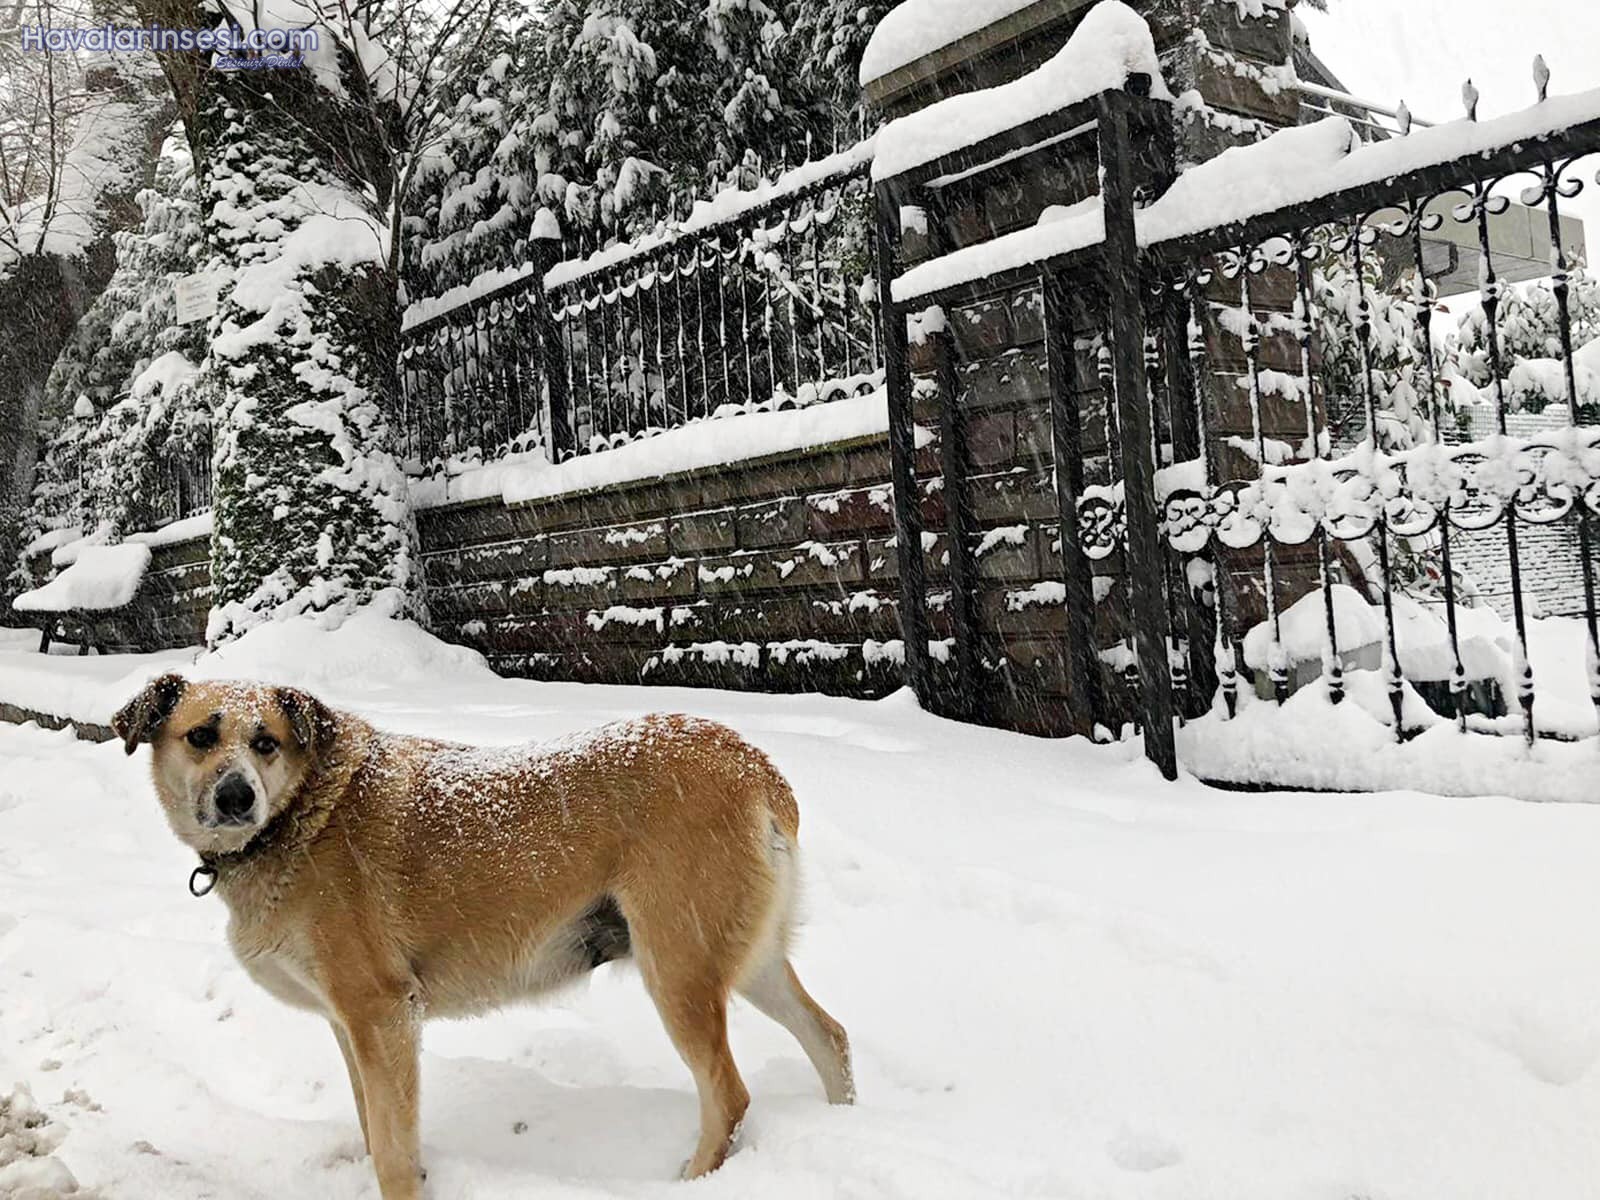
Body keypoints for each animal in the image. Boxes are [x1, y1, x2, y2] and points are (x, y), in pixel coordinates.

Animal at [113, 674, 852, 1200]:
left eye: (265, 741)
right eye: (200, 737)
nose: (237, 797)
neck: (300, 814)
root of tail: (752, 764)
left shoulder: (382, 1016)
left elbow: (393, 1150)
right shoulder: (351, 1026)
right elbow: (373, 1126)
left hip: (679, 967)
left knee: (729, 1095)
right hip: (745, 960)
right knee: (830, 1036)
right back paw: (844, 1119)